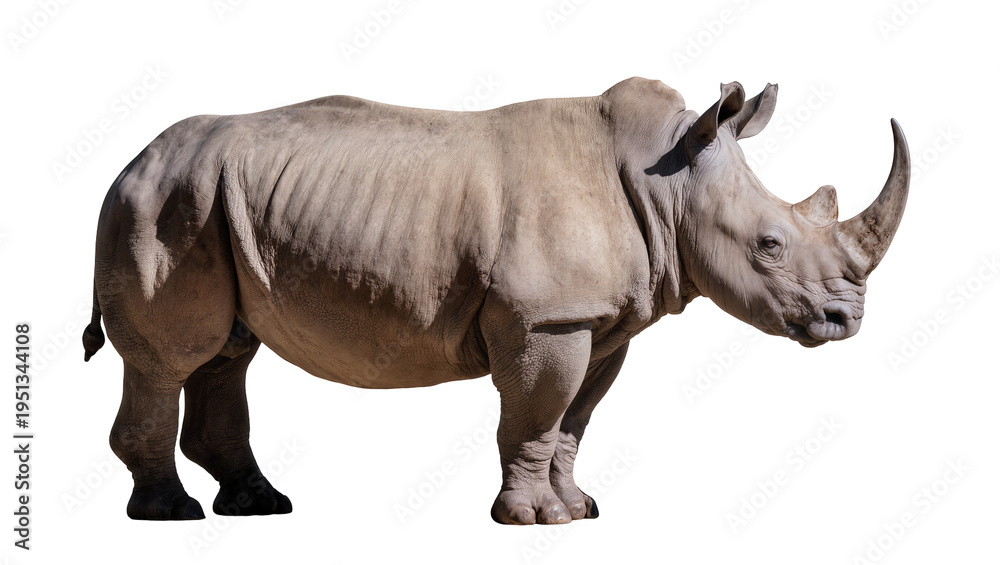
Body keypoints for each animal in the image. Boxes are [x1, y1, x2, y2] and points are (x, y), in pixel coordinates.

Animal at [82, 77, 909, 524]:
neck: (668, 185)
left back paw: (258, 504)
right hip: (166, 204)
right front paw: (533, 520)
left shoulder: (598, 322)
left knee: (226, 353)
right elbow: (537, 416)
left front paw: (578, 509)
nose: (848, 321)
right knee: (169, 359)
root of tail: (127, 164)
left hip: (209, 202)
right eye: (770, 245)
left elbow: (573, 422)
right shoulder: (546, 317)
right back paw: (170, 513)